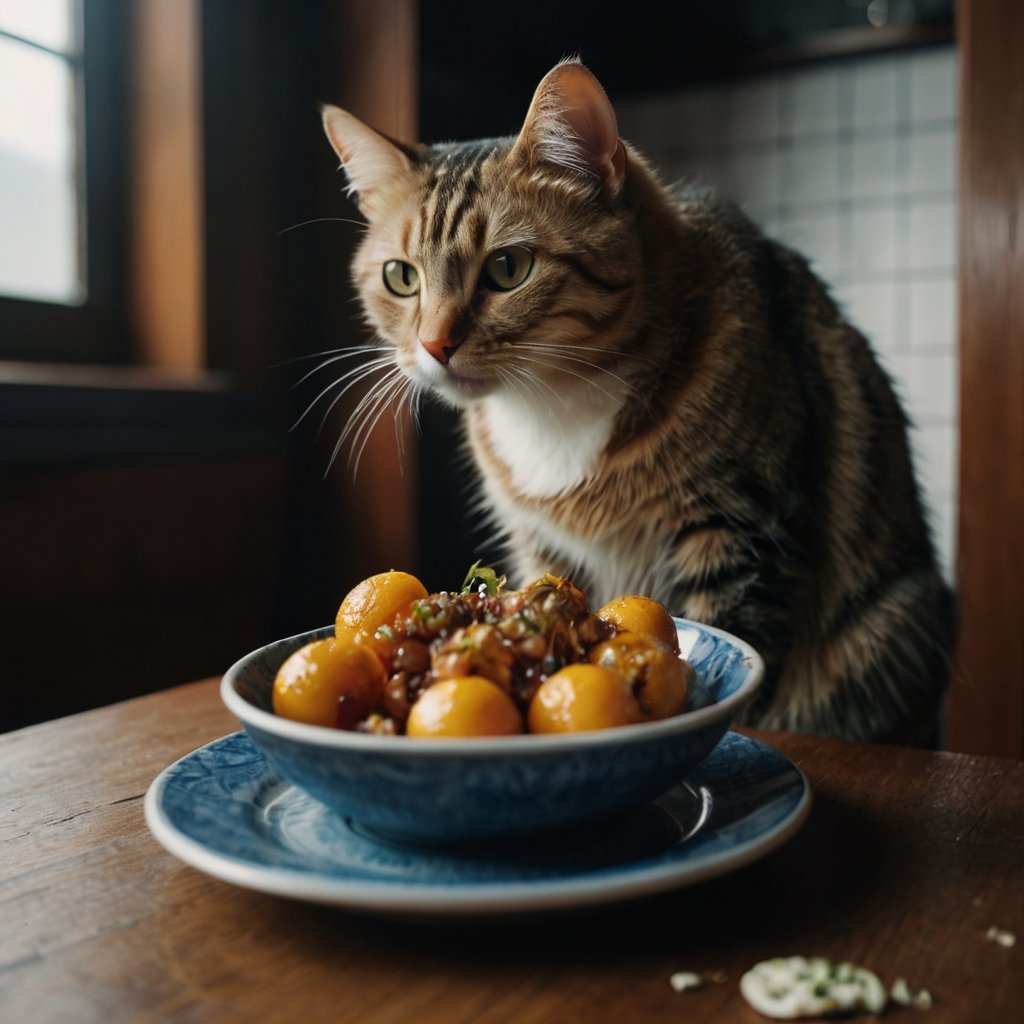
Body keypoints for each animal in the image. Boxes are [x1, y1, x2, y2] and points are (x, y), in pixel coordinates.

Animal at [321, 58, 958, 745]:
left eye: (509, 268)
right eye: (401, 277)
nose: (435, 345)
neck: (552, 406)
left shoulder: (743, 534)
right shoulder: (545, 547)